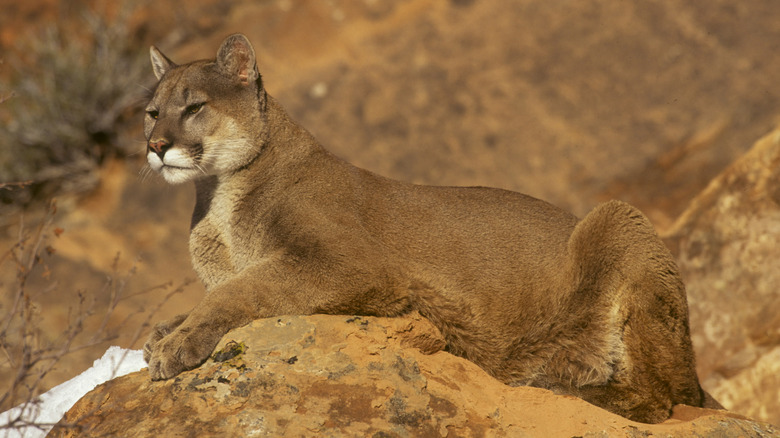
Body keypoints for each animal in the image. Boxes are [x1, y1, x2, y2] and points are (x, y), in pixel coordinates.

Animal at [145, 32, 712, 422]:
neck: (218, 195)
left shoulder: (349, 265)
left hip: (618, 218)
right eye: (151, 112)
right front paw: (163, 330)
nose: (155, 147)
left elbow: (243, 288)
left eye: (194, 107)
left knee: (664, 399)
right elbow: (217, 292)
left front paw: (176, 343)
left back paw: (556, 387)